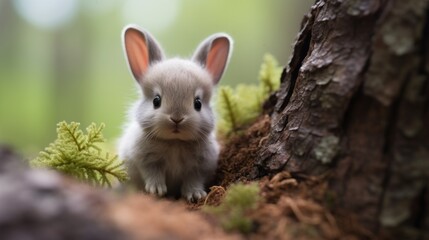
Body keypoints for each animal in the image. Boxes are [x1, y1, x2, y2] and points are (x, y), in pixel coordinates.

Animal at [117, 24, 232, 202]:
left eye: (198, 103)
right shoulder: (145, 160)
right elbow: (153, 174)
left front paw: (195, 194)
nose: (176, 118)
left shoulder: (201, 166)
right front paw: (156, 190)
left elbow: (193, 179)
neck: (175, 142)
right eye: (156, 101)